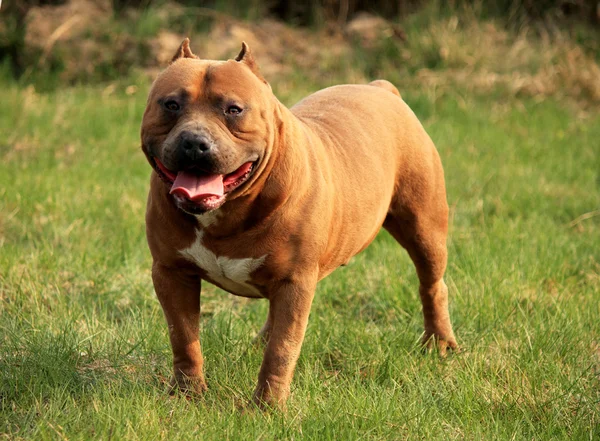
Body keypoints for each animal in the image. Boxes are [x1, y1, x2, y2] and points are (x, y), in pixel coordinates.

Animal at [142, 39, 460, 408]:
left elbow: (282, 349)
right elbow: (183, 336)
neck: (226, 212)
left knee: (432, 284)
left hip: (424, 228)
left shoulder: (294, 282)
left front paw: (267, 407)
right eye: (171, 105)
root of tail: (381, 88)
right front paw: (187, 393)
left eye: (234, 110)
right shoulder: (172, 273)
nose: (194, 142)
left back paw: (439, 342)